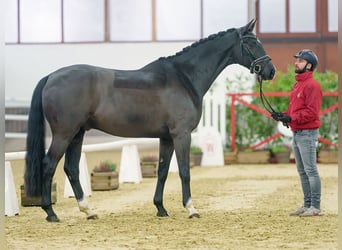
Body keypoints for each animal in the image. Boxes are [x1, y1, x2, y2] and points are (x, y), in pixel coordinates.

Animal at [24, 20, 276, 223]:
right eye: (252, 42)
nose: (271, 71)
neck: (184, 77)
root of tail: (51, 77)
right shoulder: (181, 135)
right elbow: (184, 171)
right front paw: (191, 209)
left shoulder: (166, 138)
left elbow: (162, 171)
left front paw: (160, 208)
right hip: (64, 134)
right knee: (49, 165)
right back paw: (51, 213)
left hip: (78, 133)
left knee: (71, 168)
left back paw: (88, 211)